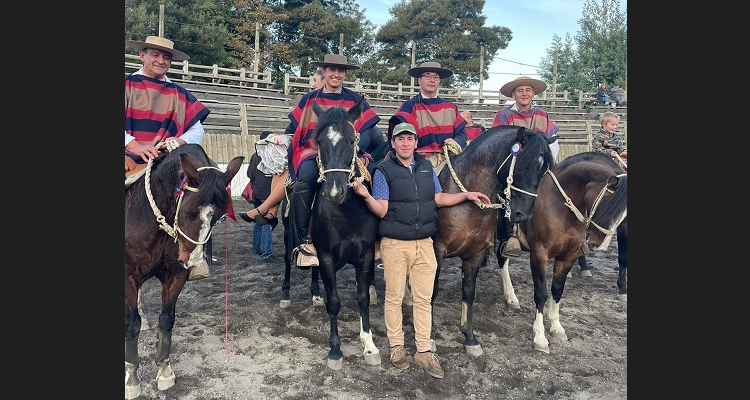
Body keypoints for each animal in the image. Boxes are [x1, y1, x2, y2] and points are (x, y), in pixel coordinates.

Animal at [125, 143, 244, 396]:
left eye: (218, 216)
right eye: (188, 212)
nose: (195, 261)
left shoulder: (176, 276)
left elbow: (166, 320)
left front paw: (164, 370)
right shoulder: (128, 277)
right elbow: (131, 325)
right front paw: (131, 378)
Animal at [428, 126, 560, 356]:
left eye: (543, 171)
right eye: (523, 165)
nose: (523, 214)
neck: (466, 201)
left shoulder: (476, 253)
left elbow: (468, 293)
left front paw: (470, 338)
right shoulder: (437, 251)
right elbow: (431, 291)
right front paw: (430, 336)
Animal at [496, 151, 632, 354]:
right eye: (609, 205)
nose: (599, 244)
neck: (559, 205)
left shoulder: (569, 256)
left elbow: (557, 289)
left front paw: (556, 327)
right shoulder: (539, 254)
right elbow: (541, 293)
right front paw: (540, 337)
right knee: (501, 261)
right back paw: (512, 296)